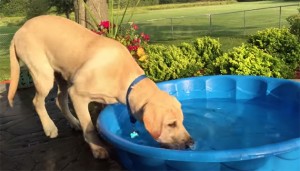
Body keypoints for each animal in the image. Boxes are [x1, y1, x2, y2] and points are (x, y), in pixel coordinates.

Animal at [7, 15, 195, 158]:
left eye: (182, 121)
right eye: (171, 124)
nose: (191, 143)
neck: (125, 78)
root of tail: (19, 30)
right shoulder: (77, 94)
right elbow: (89, 127)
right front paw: (97, 148)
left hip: (63, 74)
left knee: (60, 100)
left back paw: (73, 122)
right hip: (43, 75)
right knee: (37, 102)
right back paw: (49, 127)